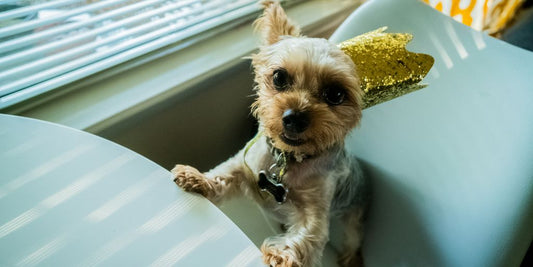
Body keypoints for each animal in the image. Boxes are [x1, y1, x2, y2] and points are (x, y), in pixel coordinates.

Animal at [172, 1, 368, 266]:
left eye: (336, 94)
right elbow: (224, 172)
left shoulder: (316, 209)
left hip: (355, 211)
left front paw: (280, 256)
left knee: (353, 235)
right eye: (279, 77)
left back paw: (351, 257)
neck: (287, 158)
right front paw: (197, 178)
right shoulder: (245, 163)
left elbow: (307, 237)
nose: (294, 118)